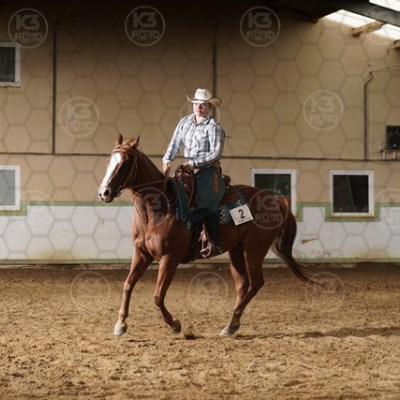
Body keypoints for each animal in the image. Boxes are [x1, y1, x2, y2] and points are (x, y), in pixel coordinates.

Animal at [98, 134, 319, 337]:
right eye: (108, 162)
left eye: (125, 163)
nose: (104, 192)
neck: (159, 209)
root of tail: (277, 202)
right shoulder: (142, 253)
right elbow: (128, 285)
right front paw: (120, 324)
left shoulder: (170, 258)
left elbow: (158, 296)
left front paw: (175, 324)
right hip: (236, 250)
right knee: (243, 284)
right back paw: (231, 325)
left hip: (254, 250)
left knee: (256, 283)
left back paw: (232, 323)